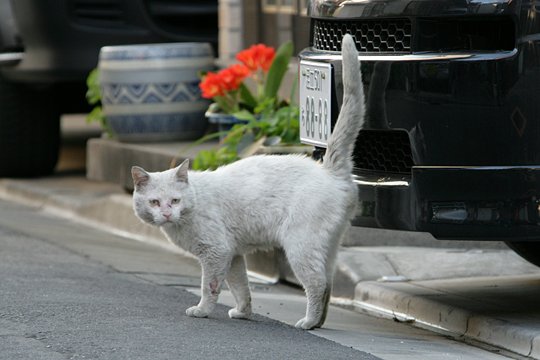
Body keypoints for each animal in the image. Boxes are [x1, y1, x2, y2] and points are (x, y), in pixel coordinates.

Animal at [132, 35, 362, 330]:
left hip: (300, 246)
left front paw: (202, 310)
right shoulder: (233, 255)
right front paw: (243, 312)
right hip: (329, 246)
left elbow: (211, 287)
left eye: (174, 200)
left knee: (317, 284)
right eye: (154, 202)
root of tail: (330, 170)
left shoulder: (216, 252)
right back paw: (318, 323)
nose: (167, 213)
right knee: (328, 285)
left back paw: (307, 322)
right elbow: (241, 287)